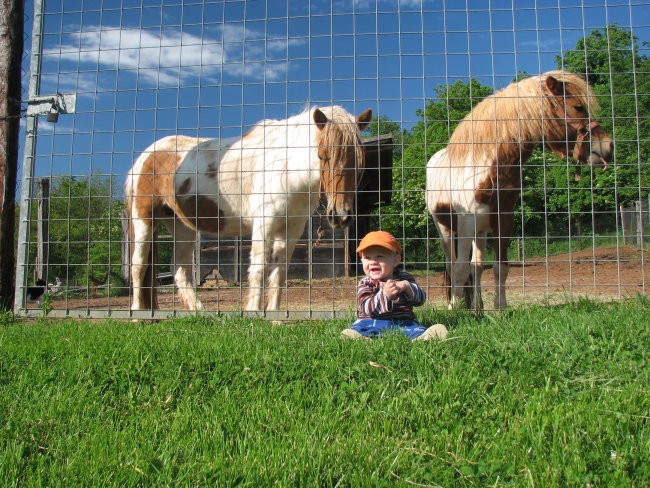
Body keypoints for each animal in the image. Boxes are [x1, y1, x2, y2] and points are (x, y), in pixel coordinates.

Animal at [126, 107, 370, 312]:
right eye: (322, 155)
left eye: (359, 160)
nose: (340, 216)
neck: (284, 167)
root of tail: (146, 156)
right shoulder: (264, 224)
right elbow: (259, 269)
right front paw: (253, 313)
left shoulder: (292, 228)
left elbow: (279, 273)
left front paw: (274, 317)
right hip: (144, 219)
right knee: (138, 266)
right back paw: (137, 314)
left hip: (182, 227)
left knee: (179, 270)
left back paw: (200, 313)